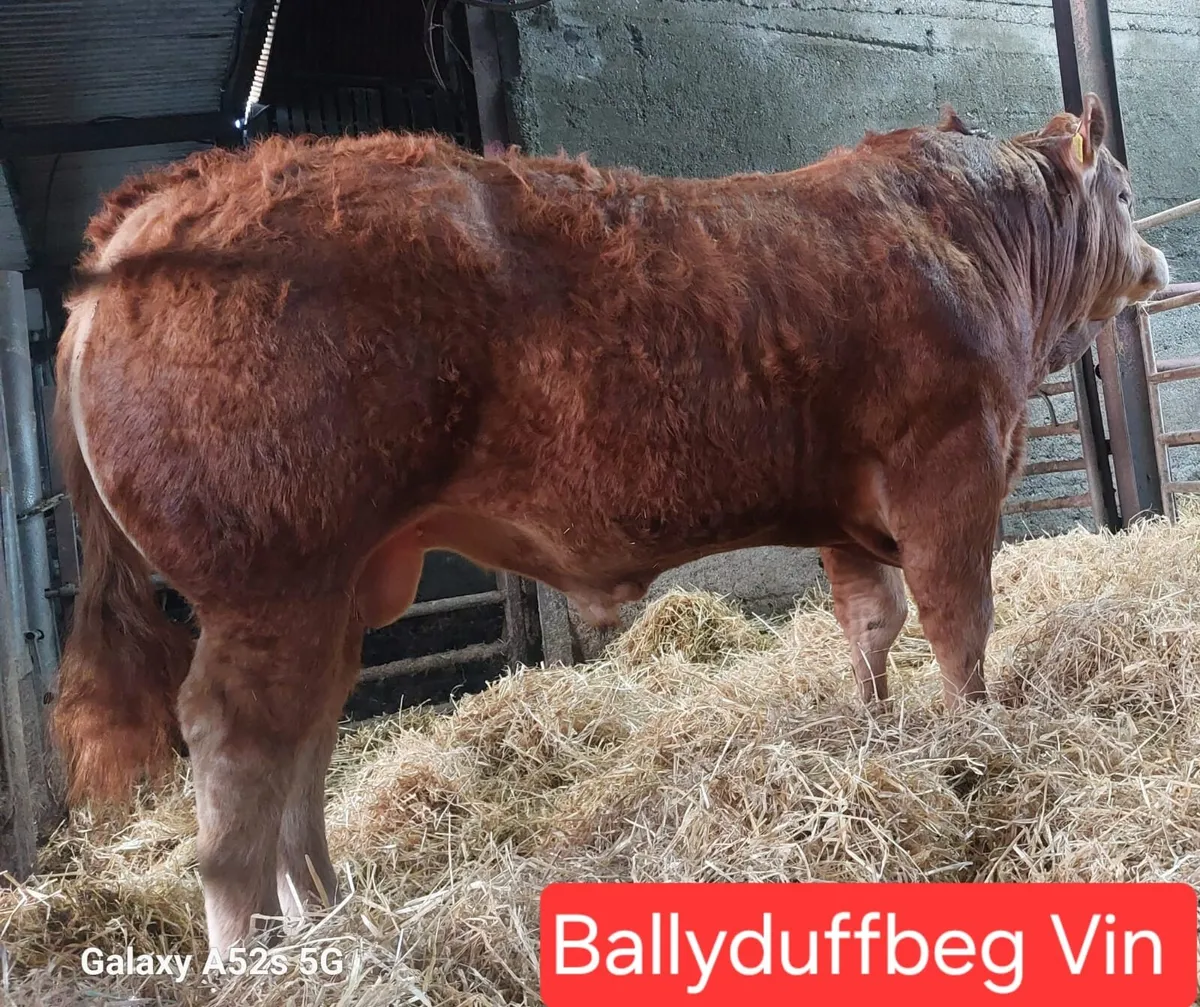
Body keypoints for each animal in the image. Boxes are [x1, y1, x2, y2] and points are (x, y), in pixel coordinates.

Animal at [51, 93, 1167, 956]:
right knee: (236, 746)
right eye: (1120, 190)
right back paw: (258, 953)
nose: (1158, 256)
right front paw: (980, 740)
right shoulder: (951, 464)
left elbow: (870, 622)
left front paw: (877, 729)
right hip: (270, 578)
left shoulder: (849, 513)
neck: (972, 240)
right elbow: (957, 621)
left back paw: (332, 911)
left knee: (304, 740)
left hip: (335, 585)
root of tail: (162, 199)